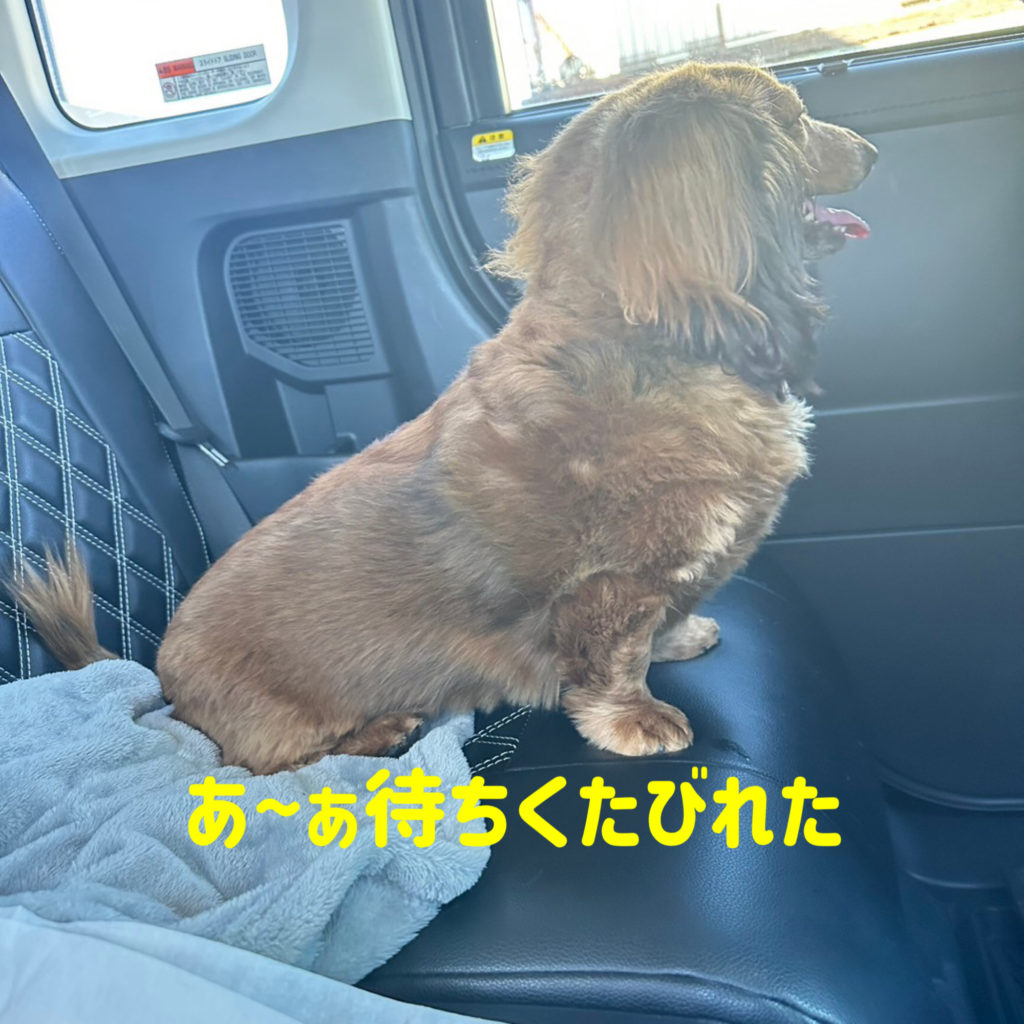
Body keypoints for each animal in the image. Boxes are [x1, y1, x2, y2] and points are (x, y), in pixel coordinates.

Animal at [13, 63, 876, 773]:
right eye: (795, 120)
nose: (870, 150)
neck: (641, 340)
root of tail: (159, 678)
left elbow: (662, 623)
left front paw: (680, 636)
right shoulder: (611, 587)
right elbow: (613, 663)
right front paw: (634, 719)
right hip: (277, 728)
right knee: (274, 762)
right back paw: (381, 728)